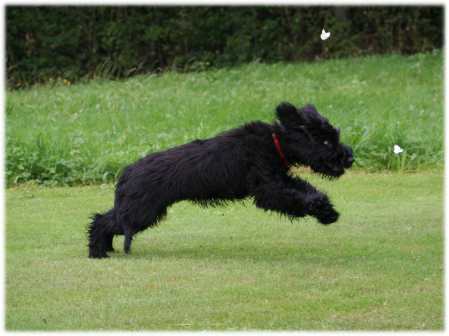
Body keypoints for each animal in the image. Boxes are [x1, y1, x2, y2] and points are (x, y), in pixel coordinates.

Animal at [88, 101, 354, 258]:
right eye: (325, 141)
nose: (349, 158)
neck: (275, 140)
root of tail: (127, 172)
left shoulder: (279, 179)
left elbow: (306, 190)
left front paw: (327, 211)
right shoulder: (267, 188)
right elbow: (293, 198)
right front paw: (322, 210)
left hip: (136, 209)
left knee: (105, 218)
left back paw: (106, 248)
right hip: (142, 211)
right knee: (102, 221)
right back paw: (97, 252)